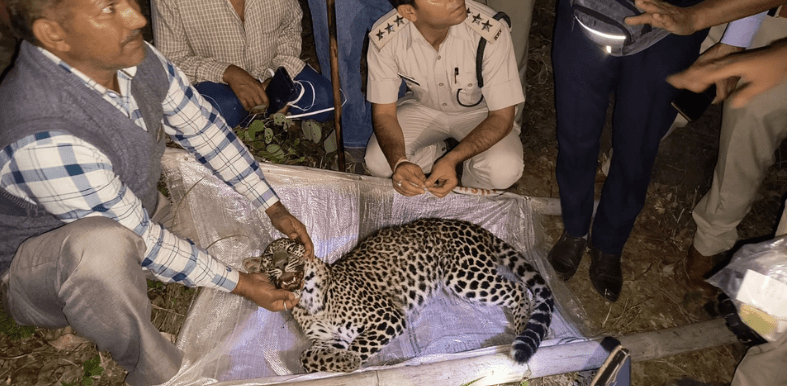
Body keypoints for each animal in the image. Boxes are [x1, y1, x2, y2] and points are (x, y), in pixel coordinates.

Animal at [243, 217, 556, 370]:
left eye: (291, 249)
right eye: (269, 258)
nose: (281, 264)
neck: (309, 302)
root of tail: (474, 227)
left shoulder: (388, 317)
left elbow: (357, 346)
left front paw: (351, 362)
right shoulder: (331, 340)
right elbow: (307, 357)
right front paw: (338, 362)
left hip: (465, 275)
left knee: (518, 288)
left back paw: (523, 327)